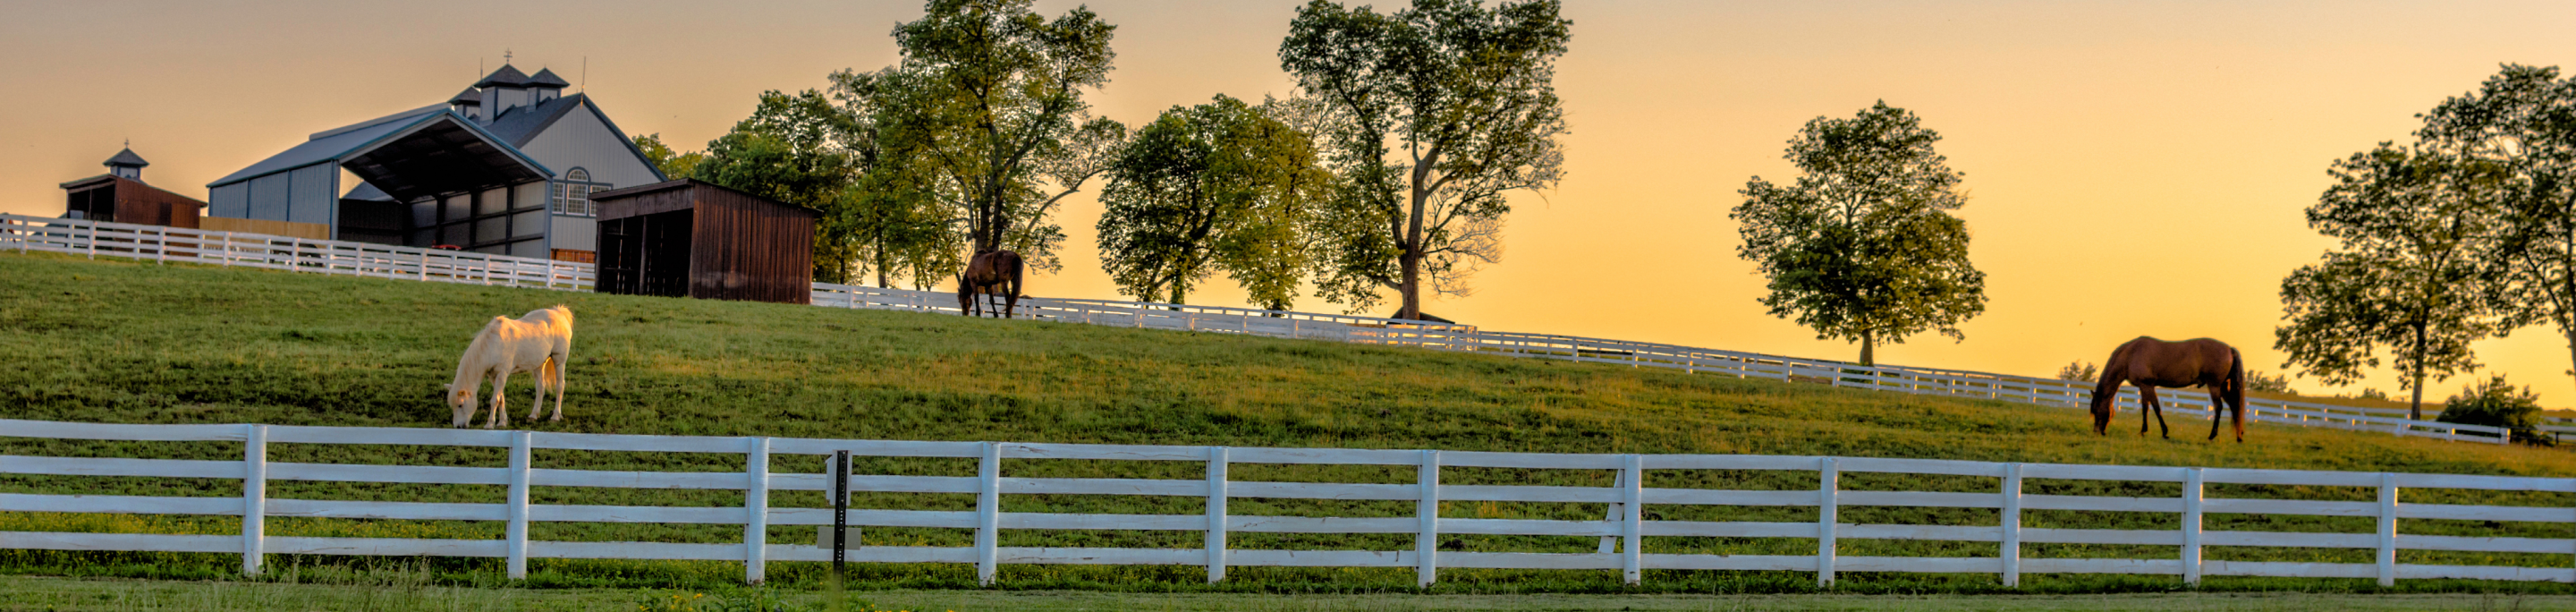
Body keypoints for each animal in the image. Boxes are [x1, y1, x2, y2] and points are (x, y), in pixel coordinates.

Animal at [448, 303, 580, 427]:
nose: (458, 426)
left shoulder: (502, 374)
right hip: (539, 364)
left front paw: (490, 424)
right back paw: (534, 415)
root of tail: (559, 312)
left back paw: (556, 416)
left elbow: (494, 400)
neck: (492, 345)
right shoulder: (493, 376)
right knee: (540, 387)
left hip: (559, 361)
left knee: (560, 386)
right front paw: (502, 422)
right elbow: (501, 398)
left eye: (460, 405)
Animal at [2081, 336, 2246, 442]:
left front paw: (2163, 432)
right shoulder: (2144, 386)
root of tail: (2229, 349)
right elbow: (2146, 408)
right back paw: (2238, 436)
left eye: (2096, 410)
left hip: (2214, 386)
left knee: (2219, 407)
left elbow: (2155, 408)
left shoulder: (2147, 385)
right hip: (2223, 386)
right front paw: (2144, 431)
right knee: (2234, 406)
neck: (2130, 355)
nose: (2097, 431)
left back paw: (2212, 435)